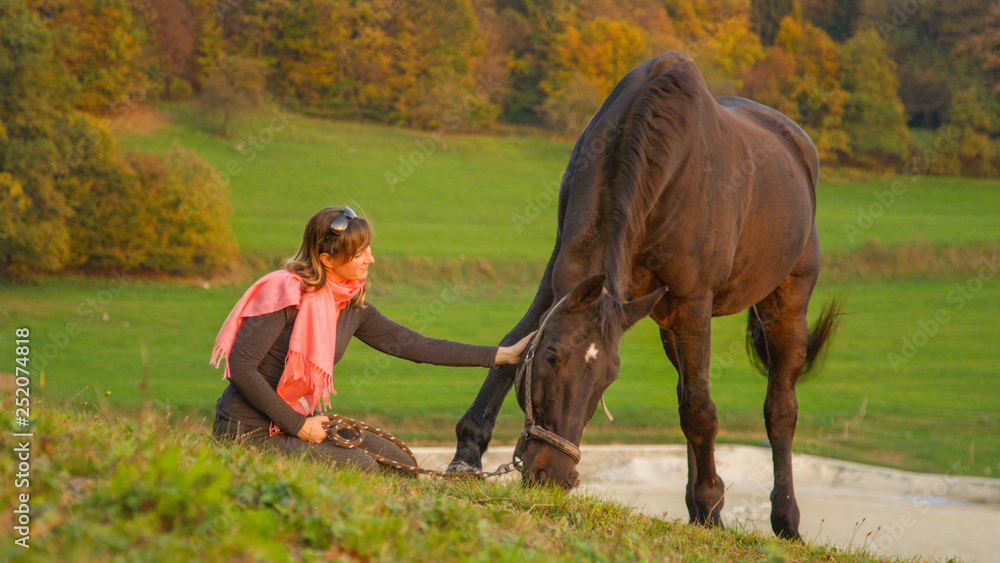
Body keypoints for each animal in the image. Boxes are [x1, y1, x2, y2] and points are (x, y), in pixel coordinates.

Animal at [452, 53, 836, 540]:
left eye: (608, 379)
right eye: (552, 358)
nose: (552, 476)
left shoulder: (694, 302)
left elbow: (701, 410)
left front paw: (712, 506)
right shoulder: (561, 278)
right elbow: (512, 345)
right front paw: (466, 455)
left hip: (785, 302)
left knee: (779, 409)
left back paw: (784, 519)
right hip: (669, 322)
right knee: (687, 390)